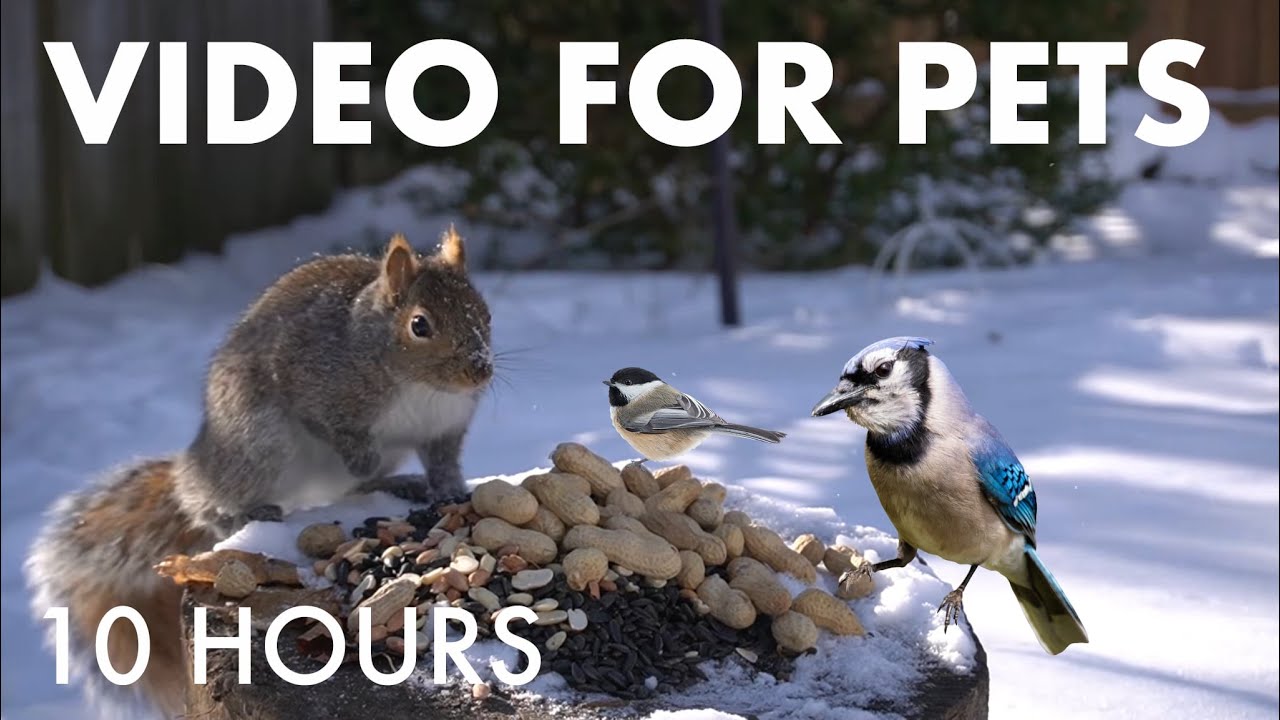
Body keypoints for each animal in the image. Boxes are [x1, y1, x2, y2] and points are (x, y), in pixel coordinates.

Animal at [25, 228, 493, 717]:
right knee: (212, 506)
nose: (480, 371)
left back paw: (397, 483)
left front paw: (450, 491)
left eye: (484, 312)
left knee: (357, 488)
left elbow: (444, 463)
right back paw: (247, 513)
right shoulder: (312, 384)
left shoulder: (445, 428)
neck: (422, 387)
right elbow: (333, 429)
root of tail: (197, 463)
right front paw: (360, 455)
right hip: (257, 443)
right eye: (420, 325)